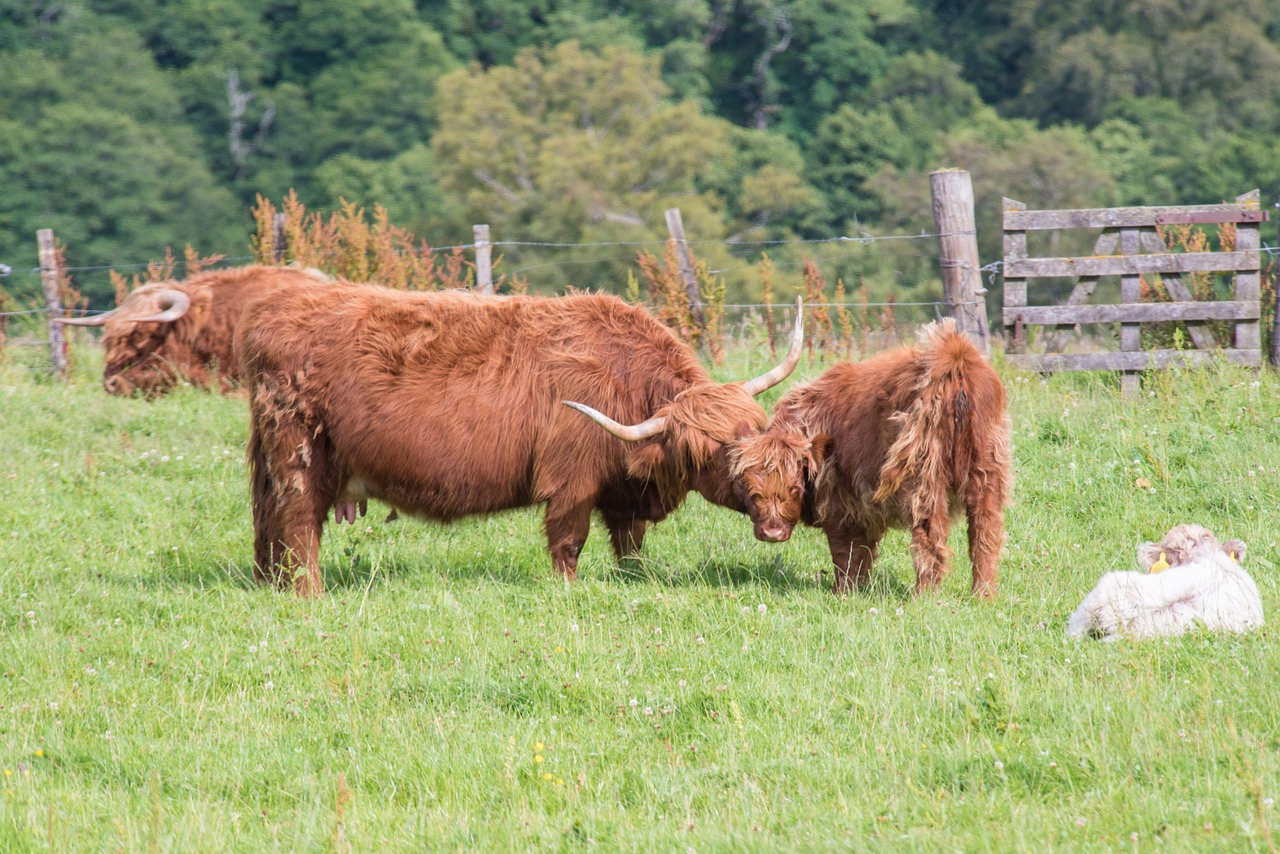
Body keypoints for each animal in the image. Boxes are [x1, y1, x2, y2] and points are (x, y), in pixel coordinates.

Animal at [236, 284, 798, 599]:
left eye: (753, 428)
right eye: (709, 451)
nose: (773, 522)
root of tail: (267, 317)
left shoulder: (623, 492)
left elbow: (630, 544)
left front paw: (635, 579)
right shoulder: (571, 482)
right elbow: (569, 543)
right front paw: (569, 591)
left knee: (270, 526)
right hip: (300, 456)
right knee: (299, 525)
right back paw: (309, 594)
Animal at [721, 320, 1008, 601]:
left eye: (794, 487)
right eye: (751, 489)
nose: (772, 533)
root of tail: (954, 357)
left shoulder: (841, 504)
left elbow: (846, 554)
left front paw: (842, 593)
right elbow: (864, 553)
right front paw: (859, 589)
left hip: (925, 474)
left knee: (930, 534)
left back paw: (923, 597)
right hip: (986, 466)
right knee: (985, 529)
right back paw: (983, 595)